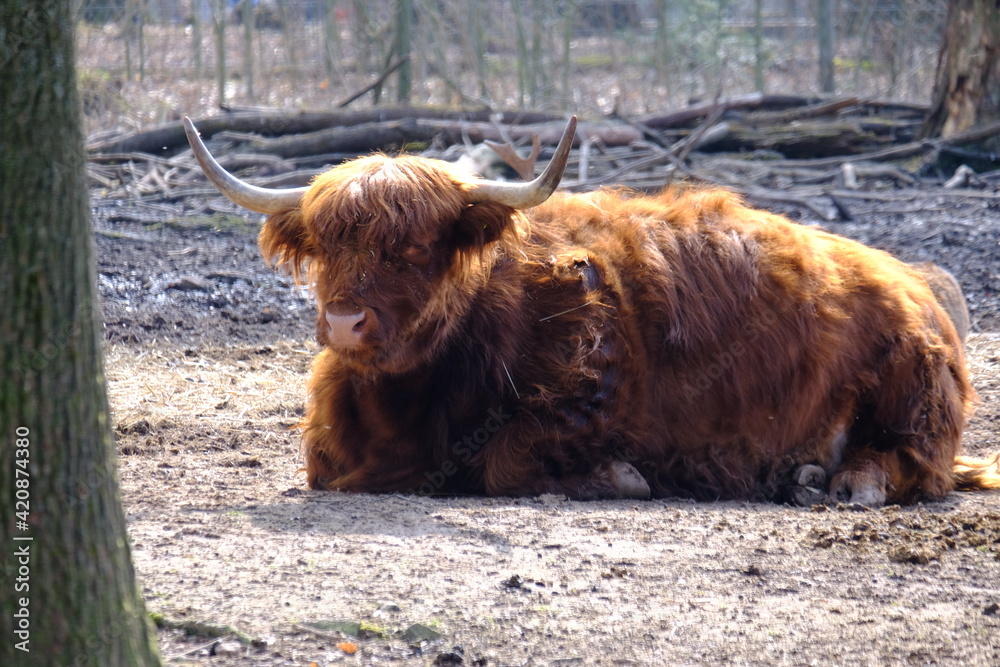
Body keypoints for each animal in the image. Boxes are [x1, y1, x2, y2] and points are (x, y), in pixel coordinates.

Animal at [184, 116, 999, 506]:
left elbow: (506, 459)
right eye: (325, 246)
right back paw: (800, 477)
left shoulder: (589, 393)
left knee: (915, 463)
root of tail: (914, 279)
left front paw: (625, 477)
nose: (346, 323)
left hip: (914, 397)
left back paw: (844, 484)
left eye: (413, 249)